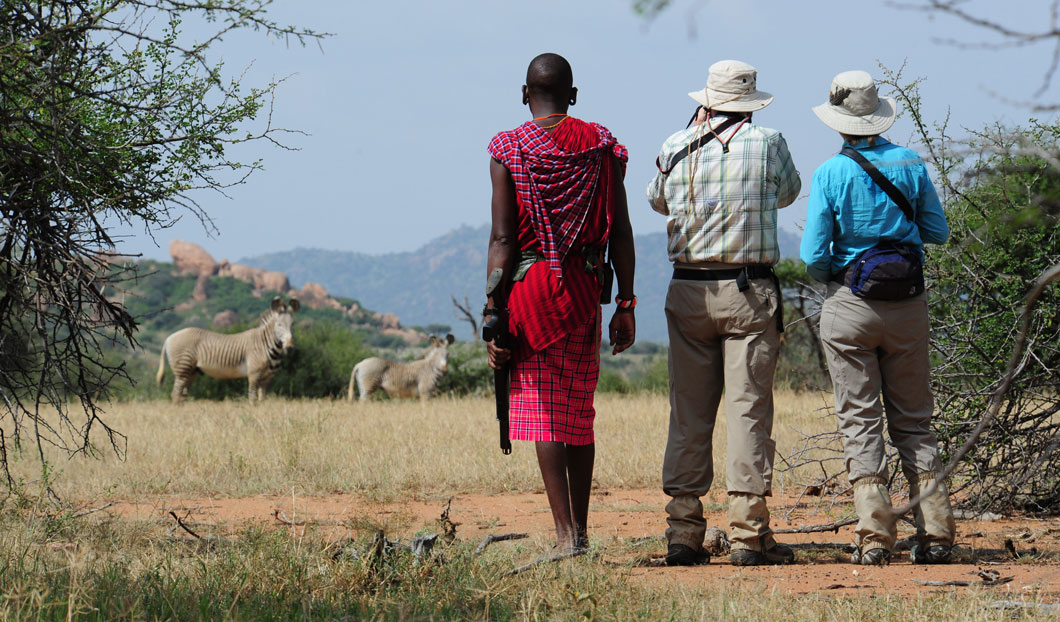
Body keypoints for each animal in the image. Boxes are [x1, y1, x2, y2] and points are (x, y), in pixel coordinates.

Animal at [155, 296, 298, 404]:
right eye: (279, 325)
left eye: (293, 324)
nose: (290, 348)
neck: (265, 345)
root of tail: (169, 338)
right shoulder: (254, 374)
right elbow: (252, 399)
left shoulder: (267, 378)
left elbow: (262, 400)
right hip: (182, 369)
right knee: (175, 394)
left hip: (191, 371)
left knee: (182, 396)